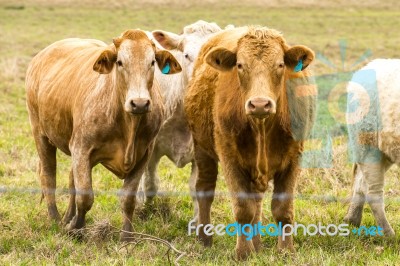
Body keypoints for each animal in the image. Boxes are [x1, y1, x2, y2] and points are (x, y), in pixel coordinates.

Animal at [25, 29, 181, 239]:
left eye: (152, 62)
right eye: (120, 62)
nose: (139, 103)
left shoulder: (143, 156)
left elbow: (128, 199)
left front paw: (127, 237)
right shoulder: (82, 148)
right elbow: (85, 197)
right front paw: (76, 228)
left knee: (71, 179)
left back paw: (67, 217)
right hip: (41, 134)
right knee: (49, 176)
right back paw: (56, 219)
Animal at [186, 27, 318, 260]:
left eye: (280, 64)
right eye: (240, 65)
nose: (259, 104)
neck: (262, 127)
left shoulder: (294, 157)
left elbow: (282, 209)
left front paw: (286, 251)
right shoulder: (229, 157)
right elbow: (243, 209)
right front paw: (243, 252)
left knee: (256, 200)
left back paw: (257, 245)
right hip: (203, 150)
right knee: (205, 190)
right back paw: (205, 239)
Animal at [344, 59, 400, 236]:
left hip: (384, 152)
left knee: (361, 185)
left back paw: (351, 220)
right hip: (368, 148)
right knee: (373, 193)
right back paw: (389, 234)